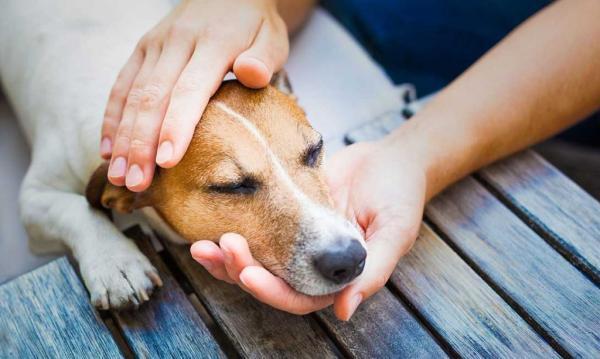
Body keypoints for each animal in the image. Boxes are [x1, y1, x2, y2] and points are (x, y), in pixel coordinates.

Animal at [0, 0, 366, 310]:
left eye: (315, 150)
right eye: (231, 186)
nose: (348, 258)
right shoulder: (35, 197)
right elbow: (76, 209)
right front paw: (115, 262)